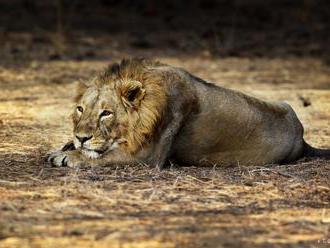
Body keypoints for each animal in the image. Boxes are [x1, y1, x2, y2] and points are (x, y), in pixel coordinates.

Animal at [47, 57, 328, 169]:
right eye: (80, 109)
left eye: (106, 113)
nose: (81, 137)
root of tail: (302, 137)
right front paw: (67, 146)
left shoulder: (148, 157)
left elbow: (101, 157)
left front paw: (68, 156)